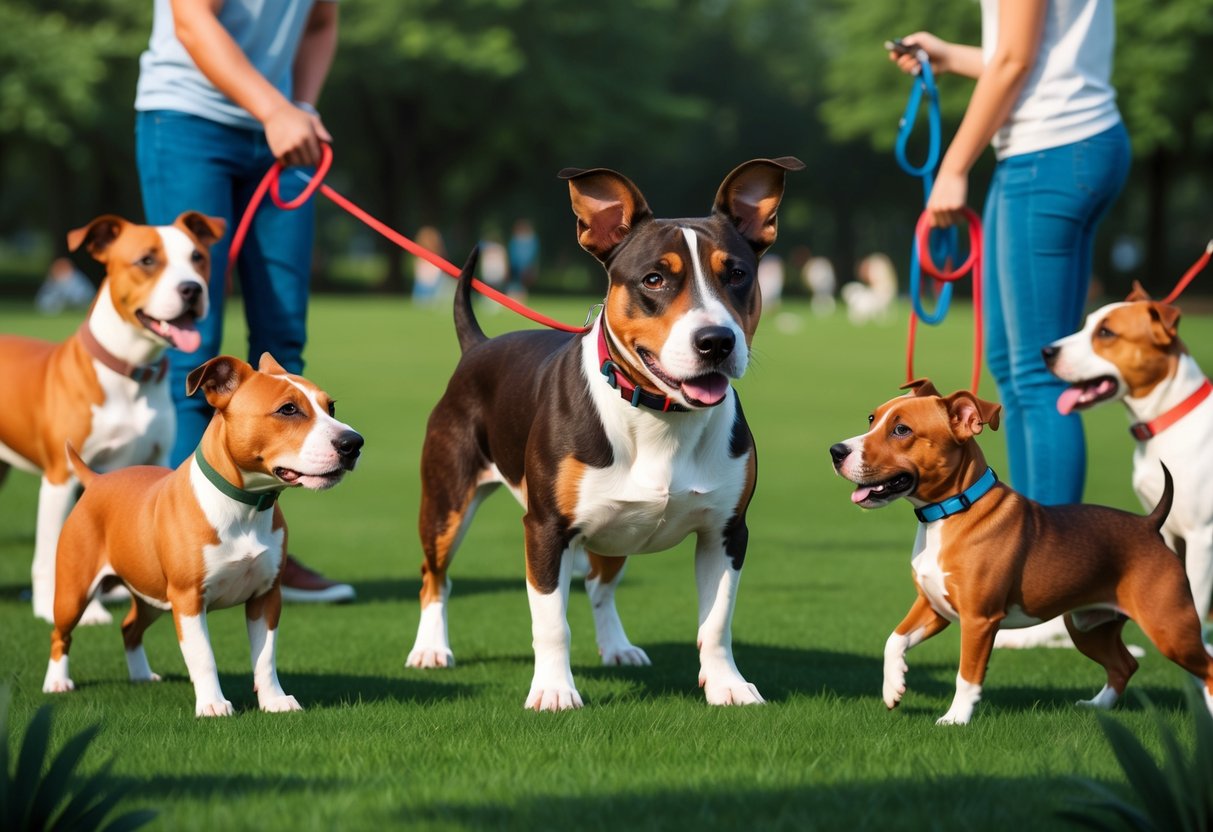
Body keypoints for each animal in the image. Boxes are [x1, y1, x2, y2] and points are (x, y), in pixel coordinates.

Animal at [0, 214, 223, 625]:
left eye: (198, 257)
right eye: (147, 260)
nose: (191, 289)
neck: (131, 374)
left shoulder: (153, 462)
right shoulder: (60, 477)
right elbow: (51, 552)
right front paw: (60, 608)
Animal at [43, 354, 363, 717]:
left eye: (330, 407)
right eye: (288, 410)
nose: (353, 443)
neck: (244, 508)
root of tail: (96, 480)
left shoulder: (266, 596)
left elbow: (265, 657)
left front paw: (274, 701)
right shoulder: (188, 600)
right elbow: (203, 656)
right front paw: (212, 704)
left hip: (151, 595)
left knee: (129, 627)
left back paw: (141, 675)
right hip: (75, 592)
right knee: (61, 634)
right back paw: (57, 682)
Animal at [405, 154, 805, 708]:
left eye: (739, 274)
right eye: (654, 279)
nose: (716, 341)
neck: (661, 418)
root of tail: (478, 345)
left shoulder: (725, 531)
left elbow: (717, 622)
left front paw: (726, 685)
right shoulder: (545, 529)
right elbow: (552, 623)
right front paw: (554, 691)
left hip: (619, 528)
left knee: (600, 583)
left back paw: (618, 647)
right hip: (446, 502)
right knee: (435, 577)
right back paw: (430, 649)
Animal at [829, 380, 1213, 727]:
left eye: (901, 430)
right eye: (872, 419)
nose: (836, 451)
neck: (950, 513)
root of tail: (1149, 524)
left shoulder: (979, 620)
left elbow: (967, 675)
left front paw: (955, 719)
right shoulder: (933, 606)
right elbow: (894, 640)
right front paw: (893, 687)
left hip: (1169, 628)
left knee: (1205, 668)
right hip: (1088, 627)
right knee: (1125, 665)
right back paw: (1096, 707)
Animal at [1043, 283, 1213, 635]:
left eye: (1106, 333)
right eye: (1087, 324)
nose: (1046, 351)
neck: (1165, 423)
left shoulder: (1201, 537)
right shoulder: (1168, 535)